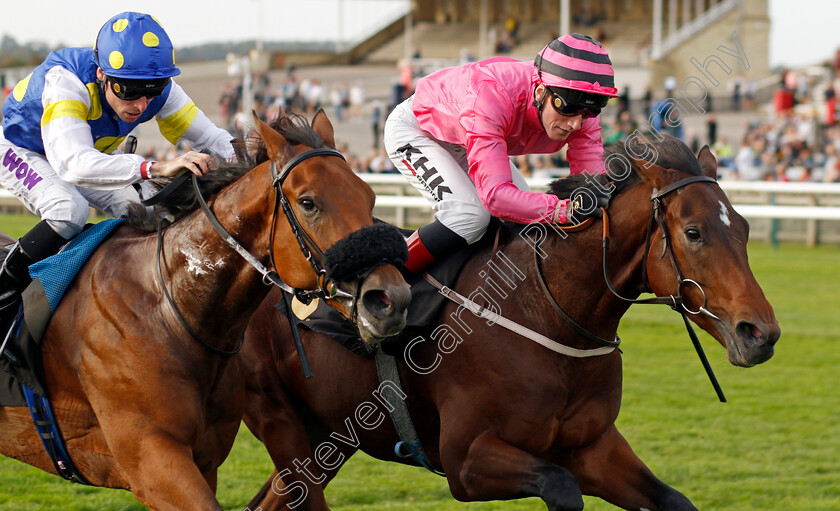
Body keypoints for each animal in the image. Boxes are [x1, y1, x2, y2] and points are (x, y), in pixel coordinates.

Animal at [0, 110, 410, 510]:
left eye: (369, 196)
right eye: (309, 202)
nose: (391, 299)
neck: (169, 308)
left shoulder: (205, 460)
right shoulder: (151, 459)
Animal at [238, 134, 780, 510]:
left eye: (744, 227)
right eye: (693, 232)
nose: (761, 333)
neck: (546, 314)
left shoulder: (592, 447)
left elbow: (672, 499)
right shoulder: (465, 460)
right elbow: (560, 488)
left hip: (327, 433)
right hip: (280, 418)